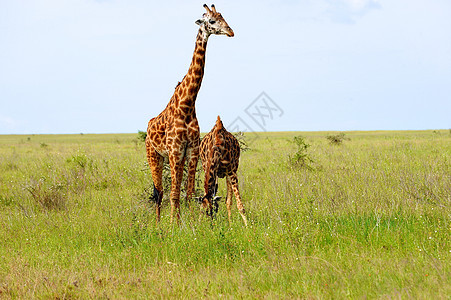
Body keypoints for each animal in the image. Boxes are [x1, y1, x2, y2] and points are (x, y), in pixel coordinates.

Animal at [146, 4, 237, 223]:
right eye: (211, 21)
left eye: (222, 17)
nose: (231, 31)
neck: (187, 104)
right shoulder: (175, 150)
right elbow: (174, 193)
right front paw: (174, 225)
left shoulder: (192, 150)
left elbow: (187, 193)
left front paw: (190, 224)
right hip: (154, 155)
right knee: (159, 192)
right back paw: (158, 224)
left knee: (166, 191)